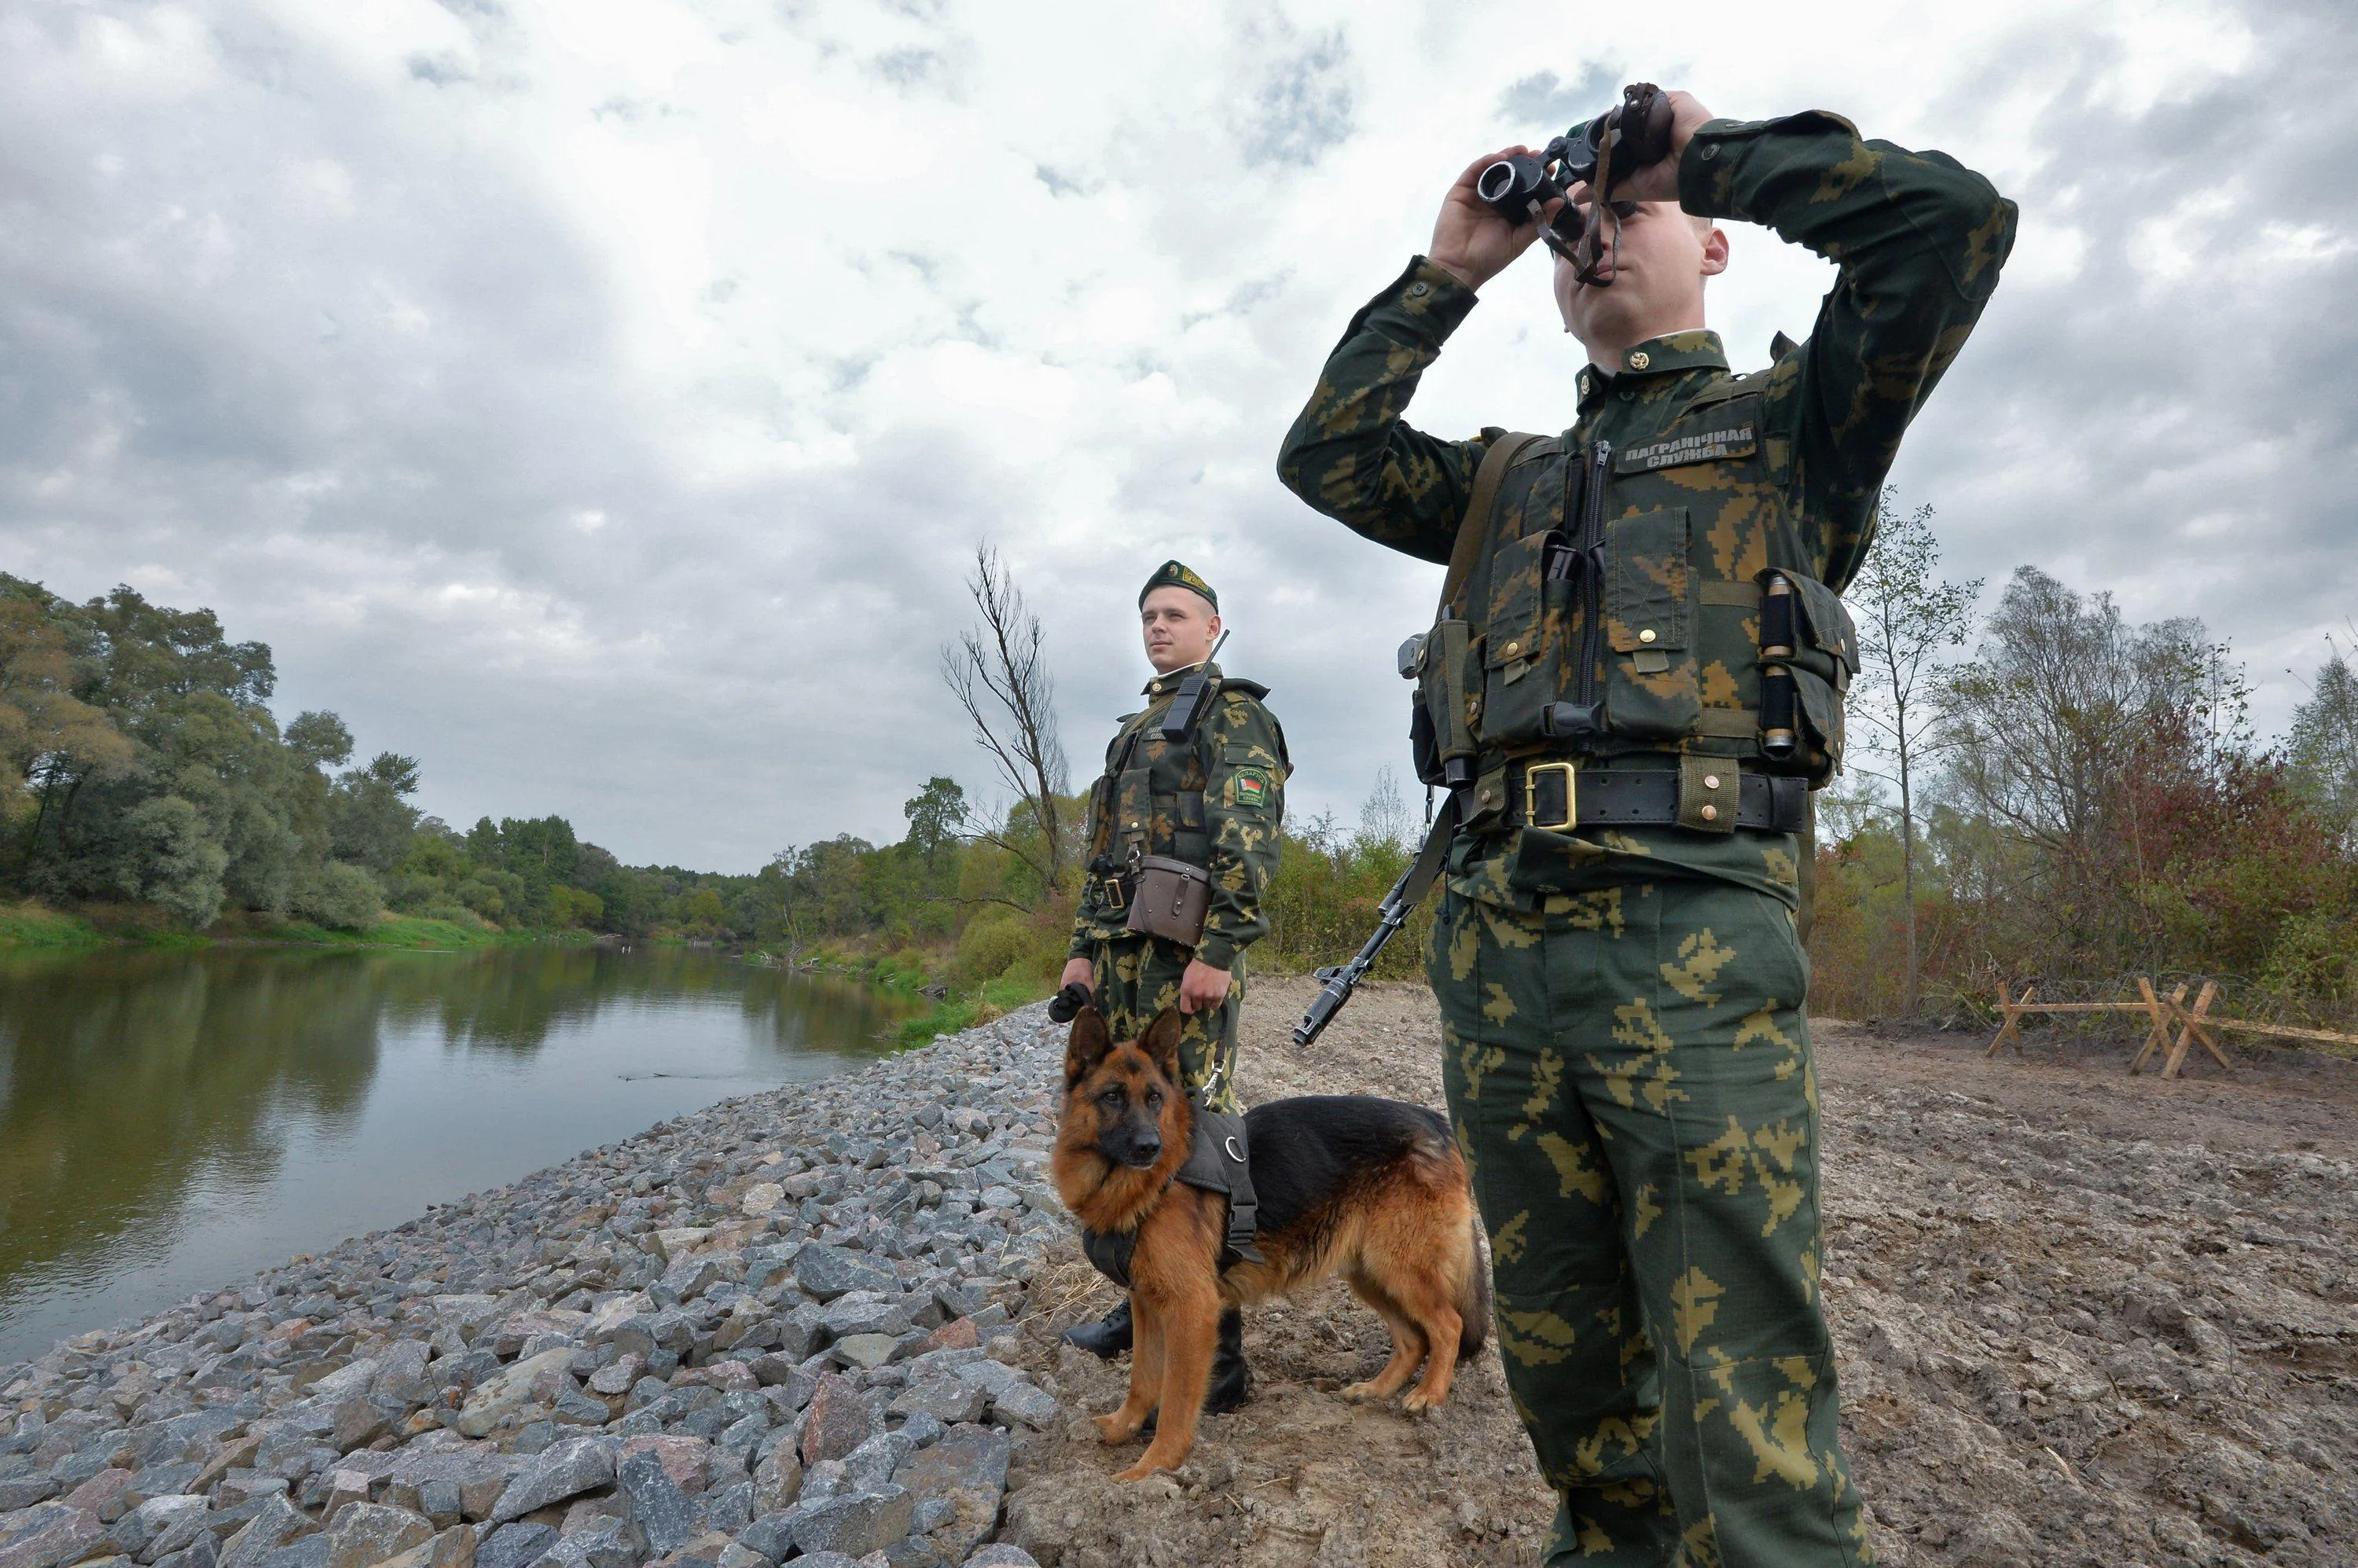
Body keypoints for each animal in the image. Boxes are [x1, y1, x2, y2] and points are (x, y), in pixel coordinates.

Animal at [1056, 1004, 1490, 1481]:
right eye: (1112, 1097)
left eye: (1155, 1099)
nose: (1150, 1147)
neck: (1153, 1184)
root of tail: (1438, 1123)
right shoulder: (1146, 1305)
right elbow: (1142, 1379)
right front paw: (1123, 1428)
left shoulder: (1191, 1310)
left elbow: (1173, 1401)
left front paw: (1150, 1471)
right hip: (1371, 1272)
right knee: (1413, 1339)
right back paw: (1376, 1389)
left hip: (1399, 1268)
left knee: (1448, 1326)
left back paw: (1430, 1394)